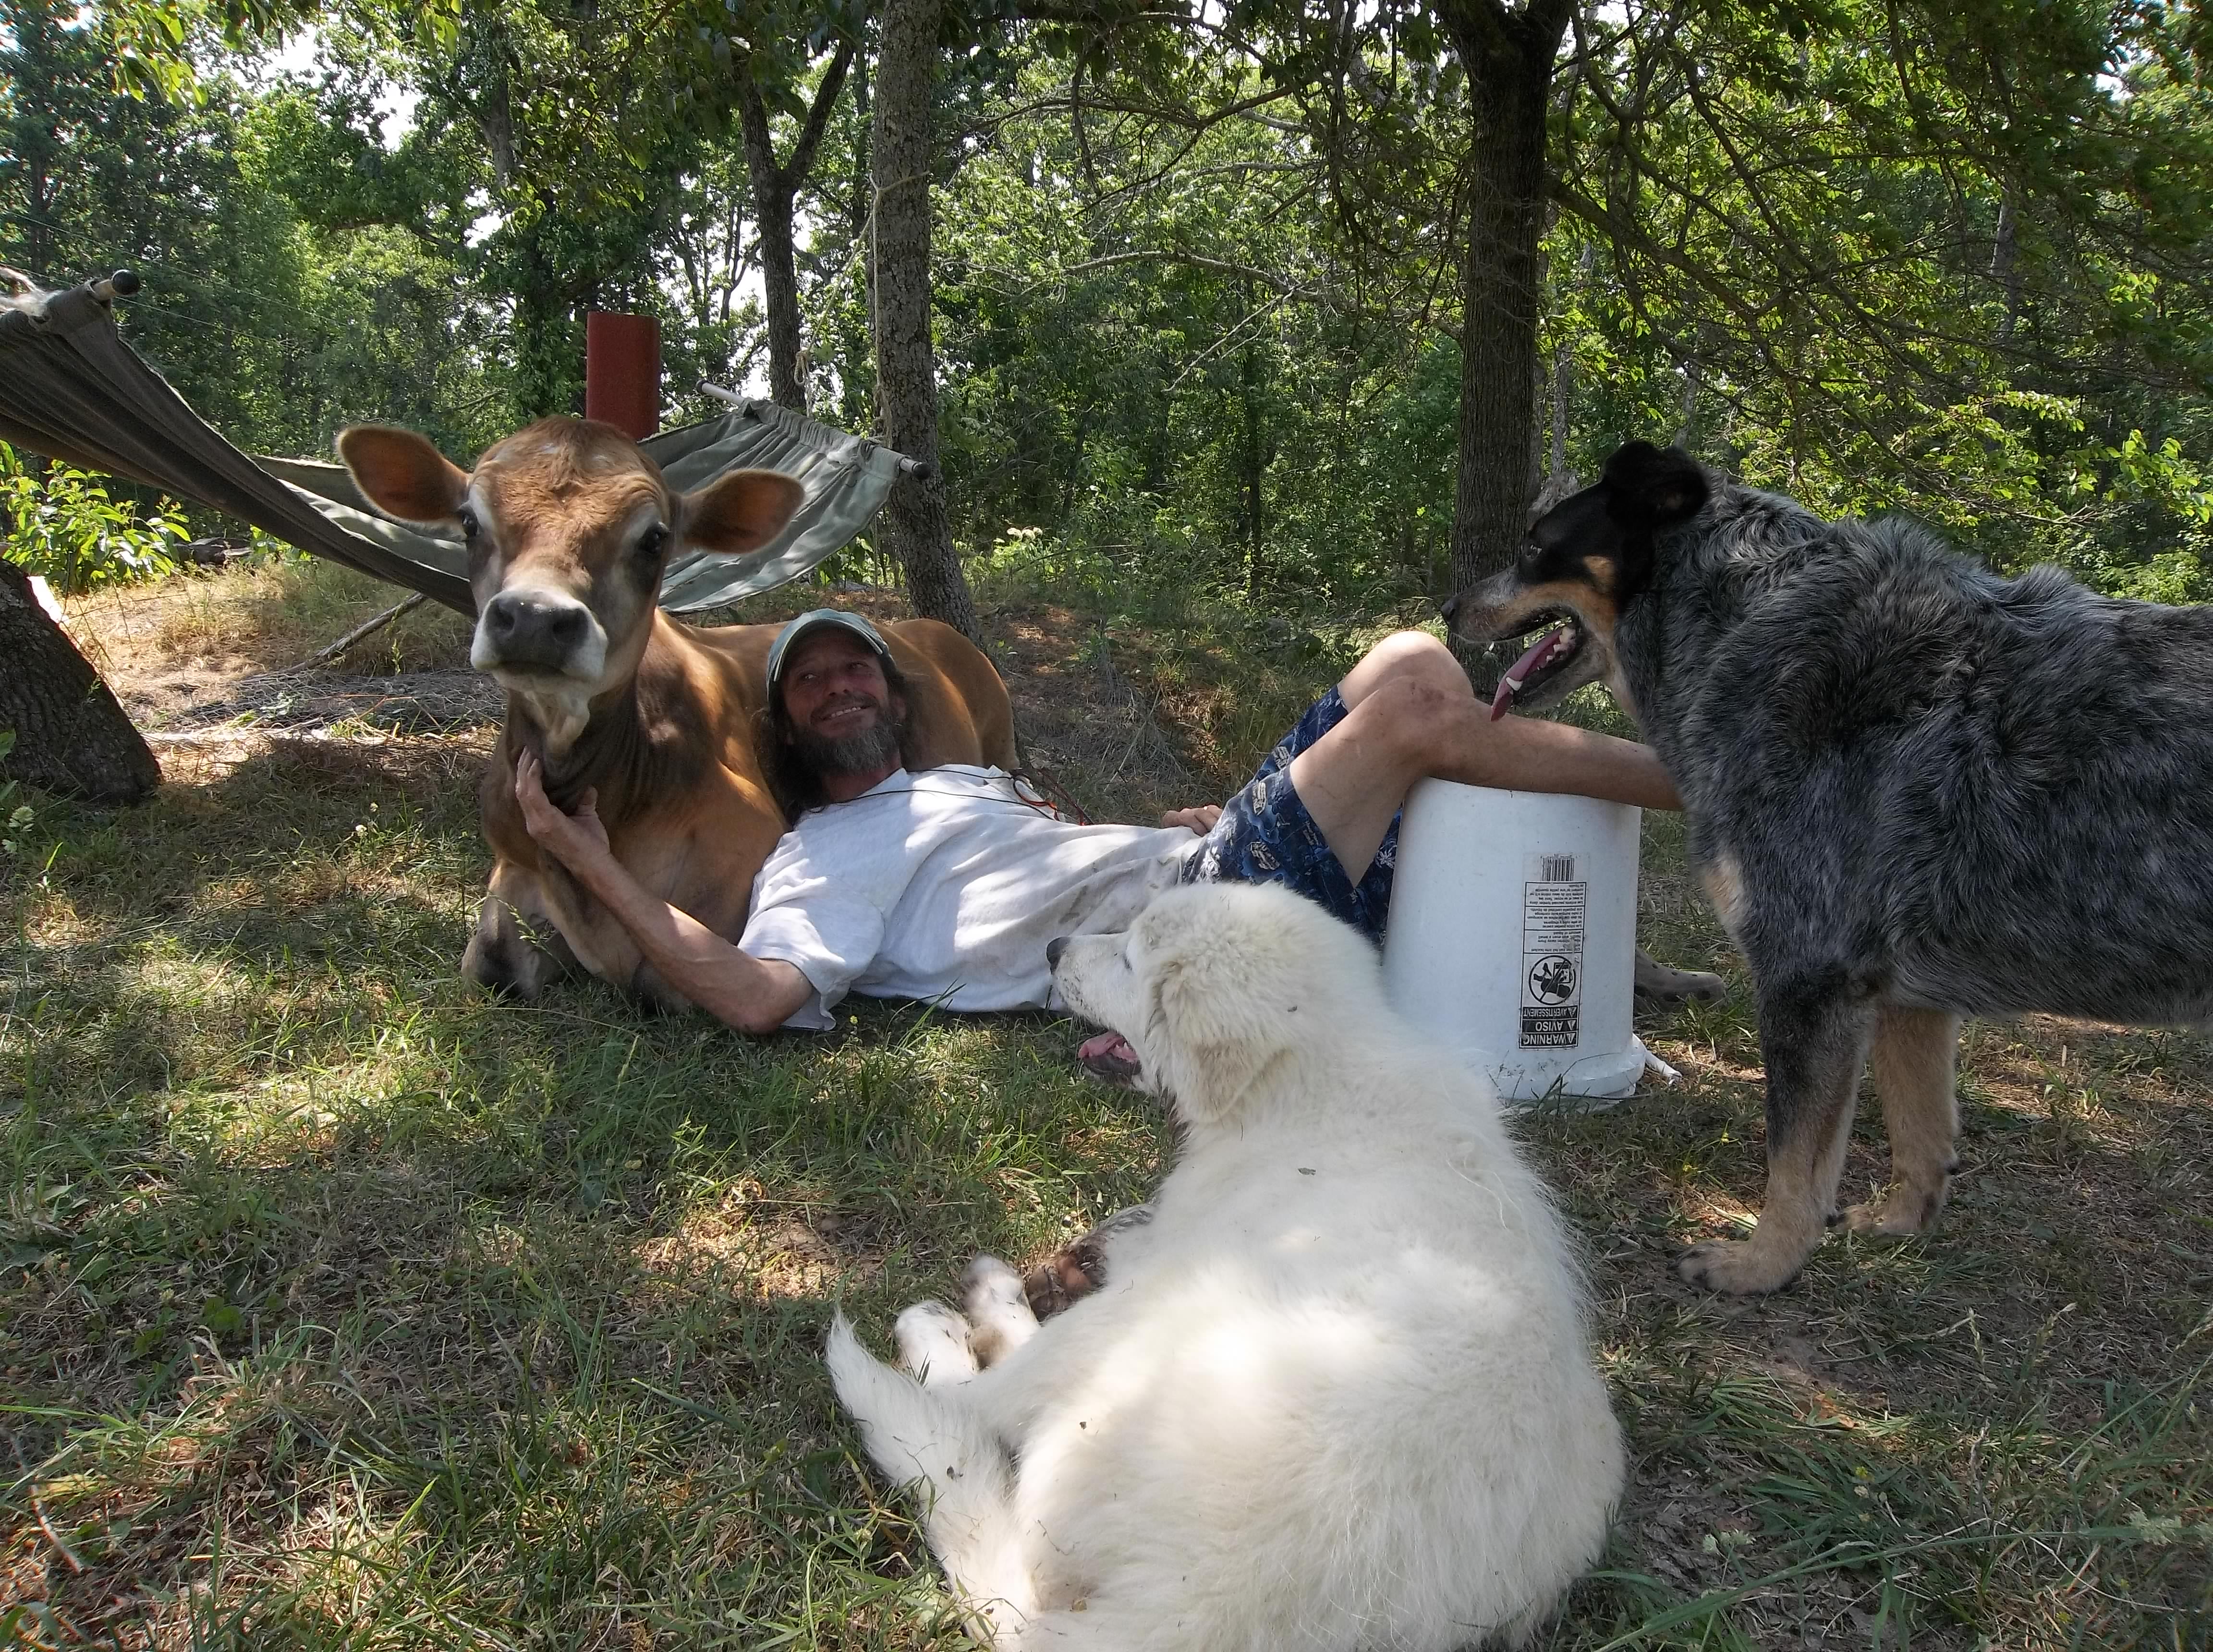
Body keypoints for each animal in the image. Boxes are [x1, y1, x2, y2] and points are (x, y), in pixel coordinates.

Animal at [827, 881, 1625, 1649]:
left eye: (1130, 959)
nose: (1053, 948)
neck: (1316, 1077)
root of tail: (1208, 1604)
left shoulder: (1190, 1230)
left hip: (1149, 1327)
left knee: (975, 1404)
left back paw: (957, 1322)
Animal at [1445, 440, 2213, 1295]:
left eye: (1533, 546)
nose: (1448, 606)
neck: (1747, 622)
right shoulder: (1908, 998)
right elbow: (1921, 1133)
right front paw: (1898, 1225)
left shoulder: (1808, 974)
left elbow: (1795, 1163)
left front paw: (1761, 1265)